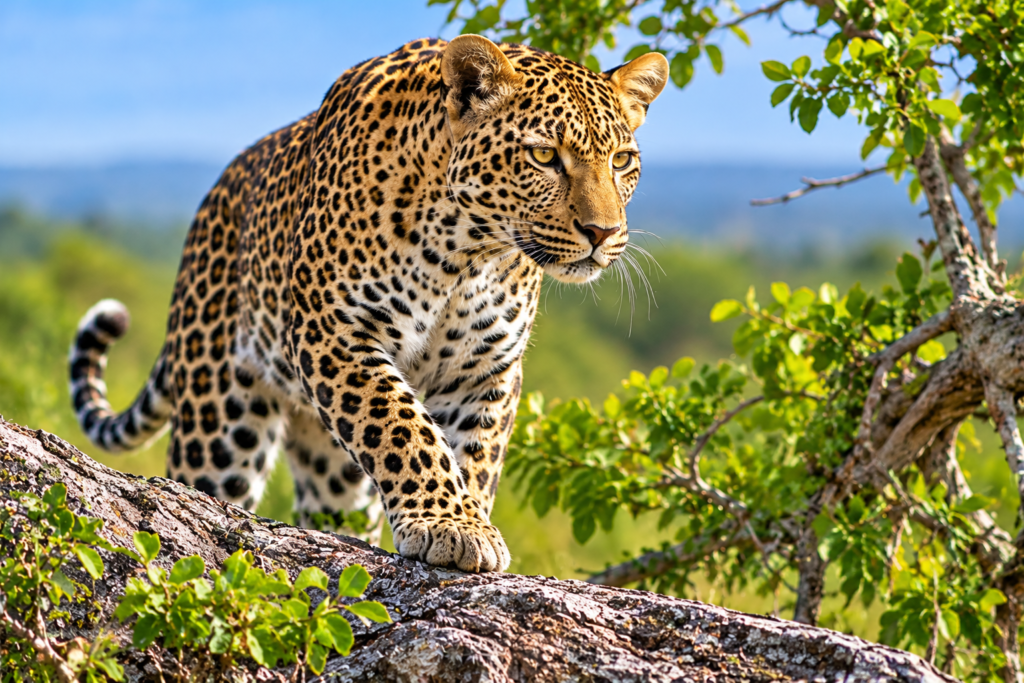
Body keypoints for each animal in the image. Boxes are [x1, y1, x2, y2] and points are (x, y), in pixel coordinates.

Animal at [68, 35, 668, 572]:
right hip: (220, 421)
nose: (602, 232)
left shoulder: (485, 369)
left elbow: (472, 454)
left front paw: (467, 518)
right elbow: (404, 426)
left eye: (622, 161)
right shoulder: (335, 331)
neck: (467, 252)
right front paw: (451, 524)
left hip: (329, 465)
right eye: (544, 155)